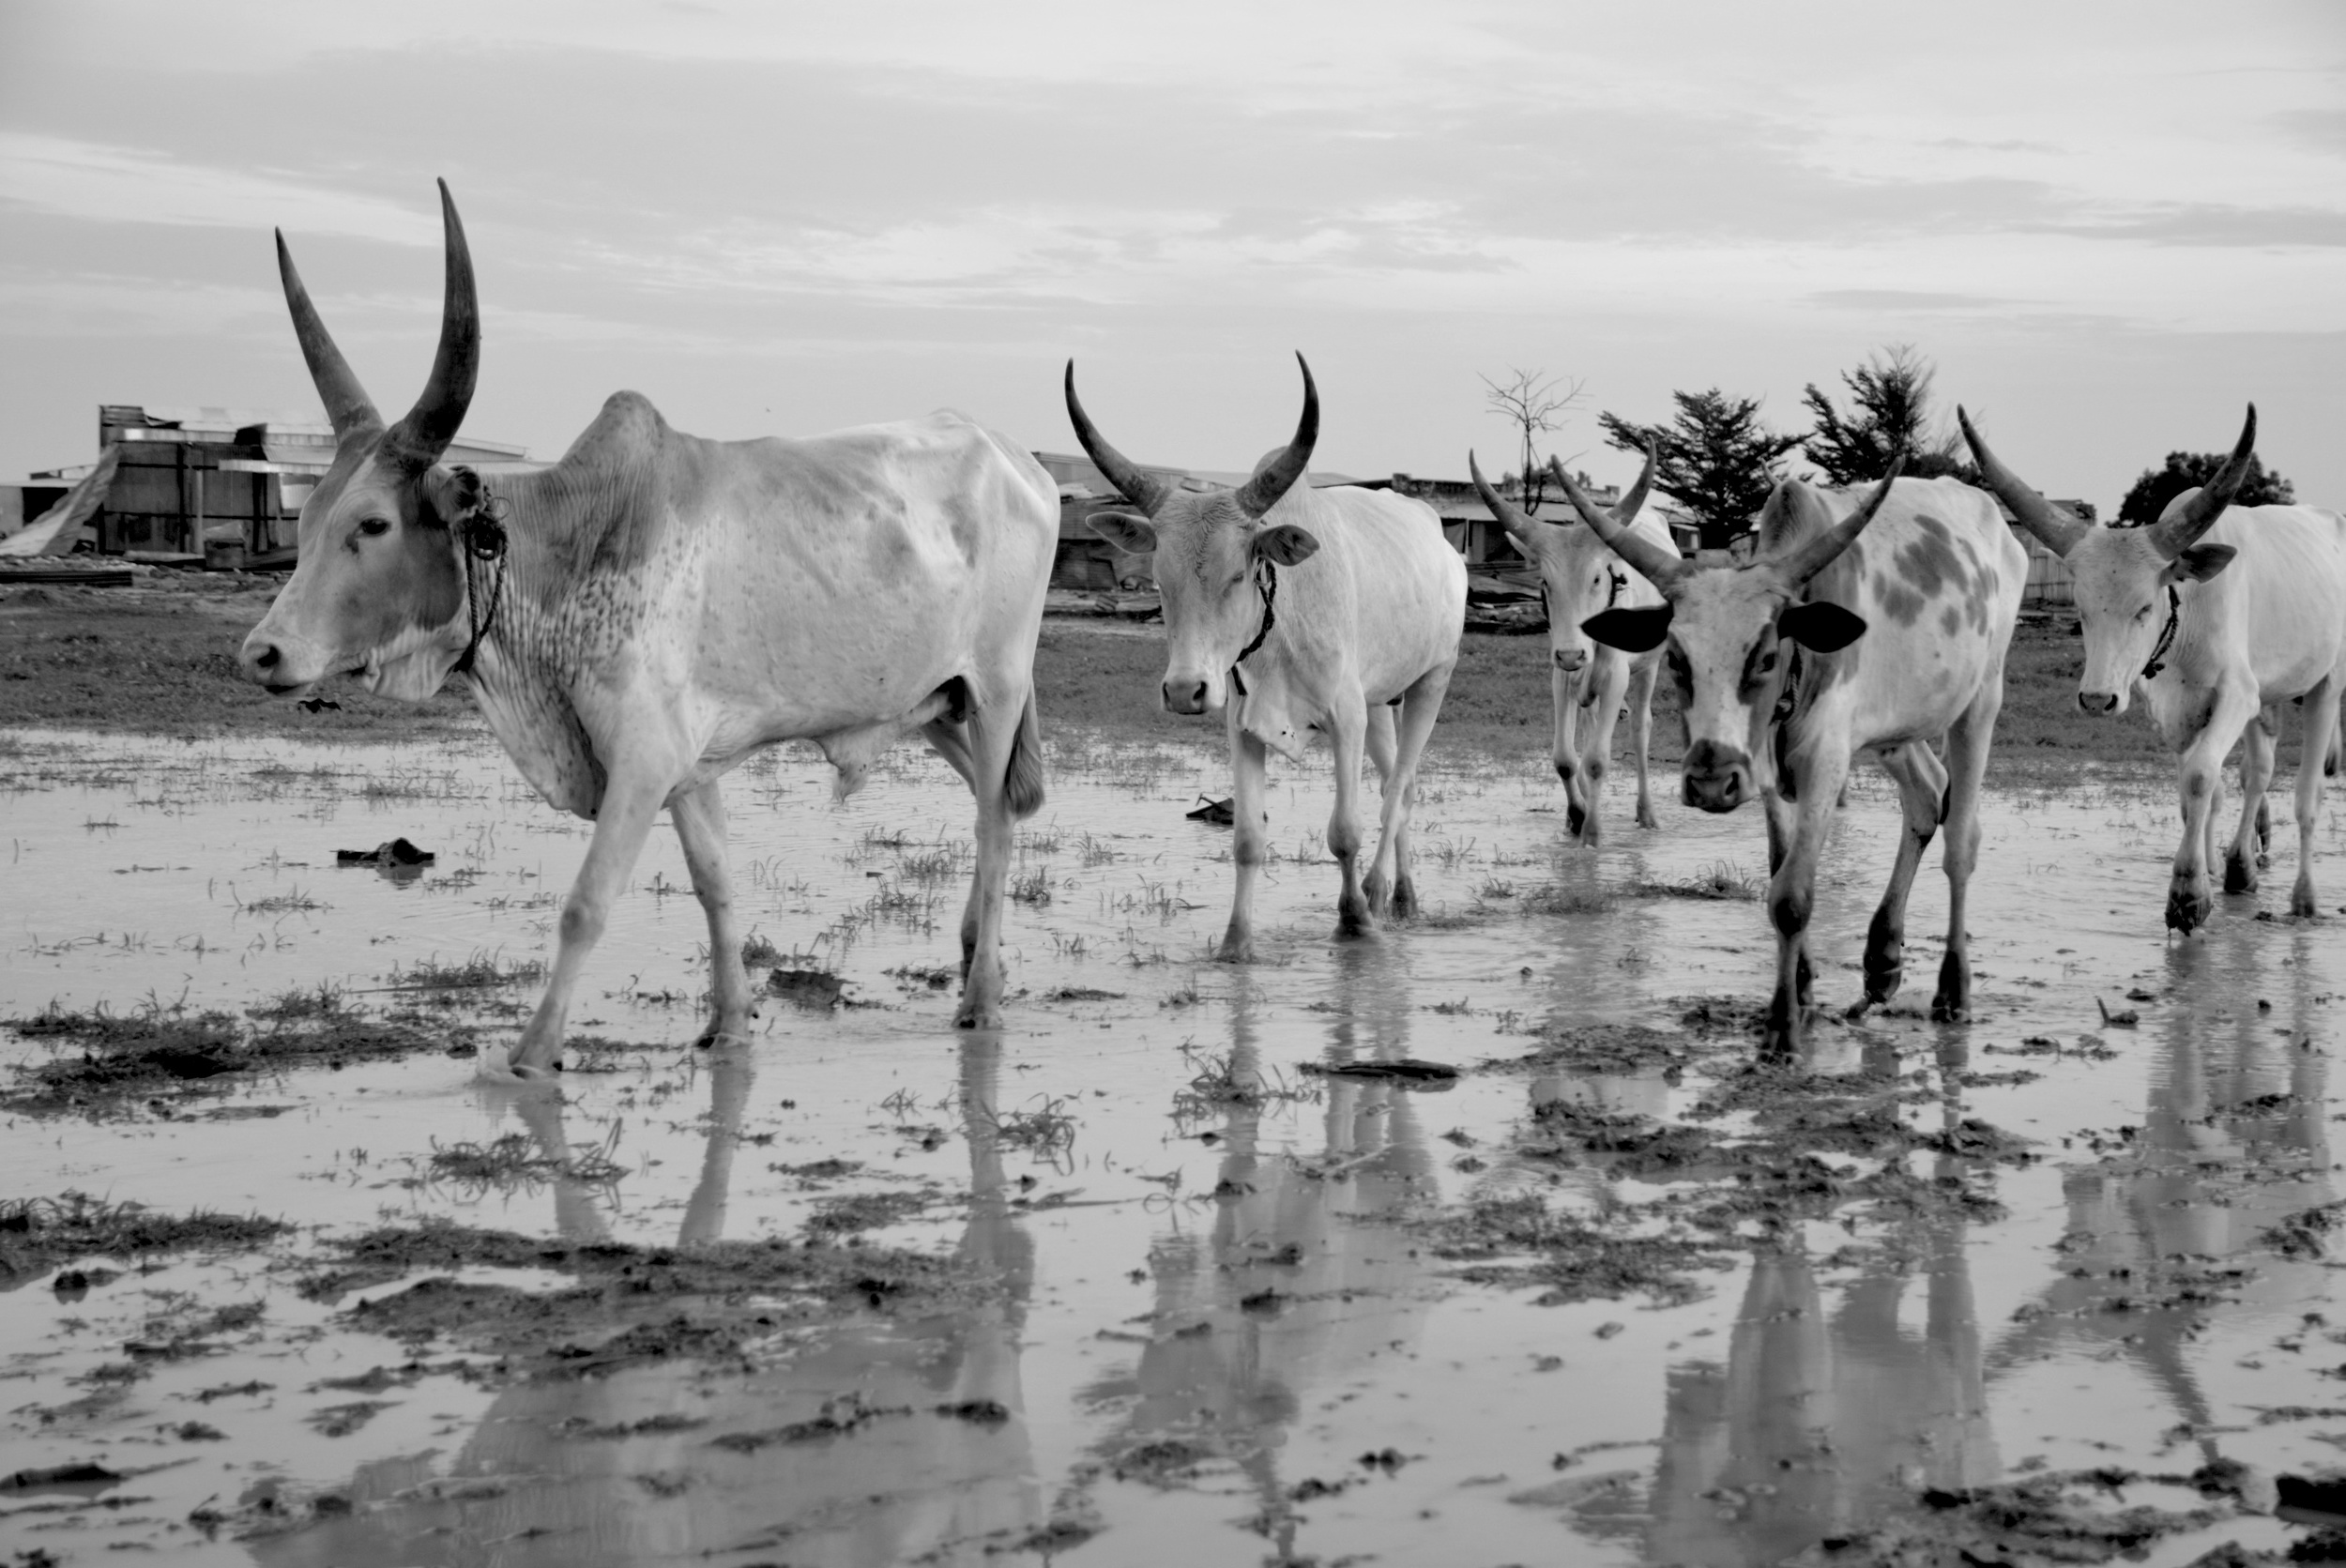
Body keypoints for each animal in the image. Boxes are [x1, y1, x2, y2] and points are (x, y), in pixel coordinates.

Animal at [1070, 361, 1464, 962]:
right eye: (1160, 579)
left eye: (1238, 574)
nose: (1184, 690)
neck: (1280, 625)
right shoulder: (1242, 725)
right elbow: (1248, 840)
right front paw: (1236, 944)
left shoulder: (1345, 718)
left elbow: (1344, 832)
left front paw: (1355, 921)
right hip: (1380, 702)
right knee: (1400, 782)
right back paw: (1404, 897)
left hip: (1431, 682)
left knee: (1398, 791)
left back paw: (1379, 893)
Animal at [1464, 446, 1670, 845]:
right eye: (1545, 581)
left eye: (1597, 578)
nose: (1574, 653)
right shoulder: (1560, 675)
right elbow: (1565, 757)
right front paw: (1576, 815)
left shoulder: (1616, 676)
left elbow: (1597, 760)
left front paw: (1592, 832)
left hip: (1649, 667)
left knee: (1641, 727)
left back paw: (1648, 813)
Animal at [1558, 460, 2036, 1060]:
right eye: (1676, 658)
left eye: (1765, 656)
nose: (1710, 781)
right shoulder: (1764, 769)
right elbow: (1778, 870)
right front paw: (1803, 988)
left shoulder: (1825, 758)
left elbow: (1792, 896)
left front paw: (1783, 1029)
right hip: (1897, 731)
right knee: (1928, 799)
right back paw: (1882, 961)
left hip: (1980, 702)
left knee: (1961, 843)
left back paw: (1953, 991)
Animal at [1961, 410, 2346, 938]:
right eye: (2081, 609)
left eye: (2145, 606)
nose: (2097, 699)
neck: (2189, 615)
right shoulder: (2176, 712)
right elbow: (2199, 793)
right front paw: (2206, 873)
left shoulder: (2236, 695)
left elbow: (2202, 777)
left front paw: (2187, 895)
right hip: (2267, 698)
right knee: (2257, 774)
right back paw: (2240, 868)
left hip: (2326, 684)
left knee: (2308, 795)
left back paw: (2304, 899)